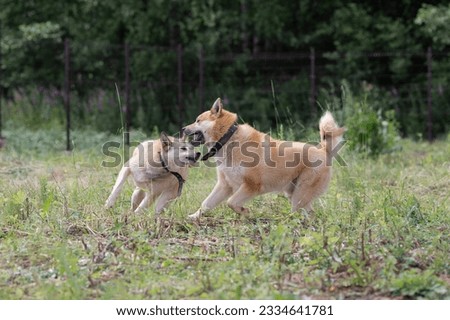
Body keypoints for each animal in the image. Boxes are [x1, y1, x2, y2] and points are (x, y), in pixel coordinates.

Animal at [183, 98, 344, 218]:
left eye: (197, 120)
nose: (183, 129)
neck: (228, 139)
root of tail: (323, 150)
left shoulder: (251, 185)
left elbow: (231, 202)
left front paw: (244, 212)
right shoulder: (224, 185)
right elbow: (206, 204)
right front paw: (193, 217)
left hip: (299, 196)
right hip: (295, 194)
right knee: (310, 214)